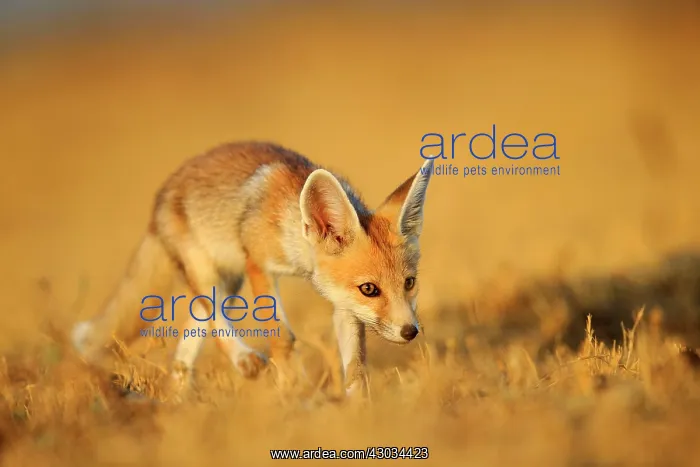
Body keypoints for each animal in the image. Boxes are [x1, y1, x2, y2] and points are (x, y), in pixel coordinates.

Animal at [71, 141, 434, 397]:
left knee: (190, 341)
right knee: (213, 320)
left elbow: (356, 365)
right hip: (209, 275)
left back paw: (178, 400)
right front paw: (292, 390)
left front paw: (359, 410)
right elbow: (282, 337)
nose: (410, 331)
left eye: (409, 283)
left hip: (228, 284)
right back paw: (242, 361)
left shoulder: (344, 304)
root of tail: (162, 194)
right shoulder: (259, 266)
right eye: (370, 289)